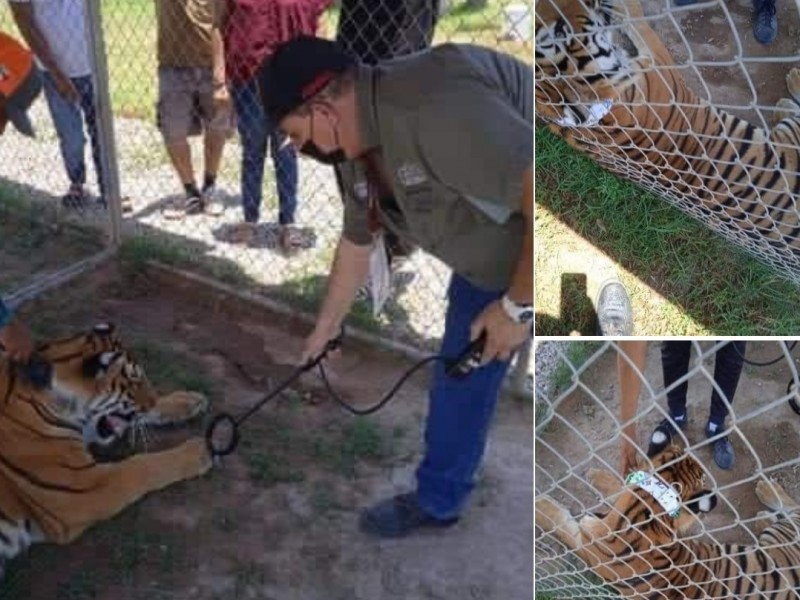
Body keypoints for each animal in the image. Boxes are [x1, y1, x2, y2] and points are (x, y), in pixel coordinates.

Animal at [0, 326, 212, 580]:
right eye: (134, 382)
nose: (151, 401)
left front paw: (189, 399)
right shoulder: (86, 488)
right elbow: (143, 465)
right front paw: (200, 450)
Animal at [532, 442, 800, 596]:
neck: (644, 514)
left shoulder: (588, 546)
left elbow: (560, 524)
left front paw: (539, 505)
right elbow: (621, 487)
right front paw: (597, 475)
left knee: (793, 507)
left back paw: (765, 491)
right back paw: (763, 514)